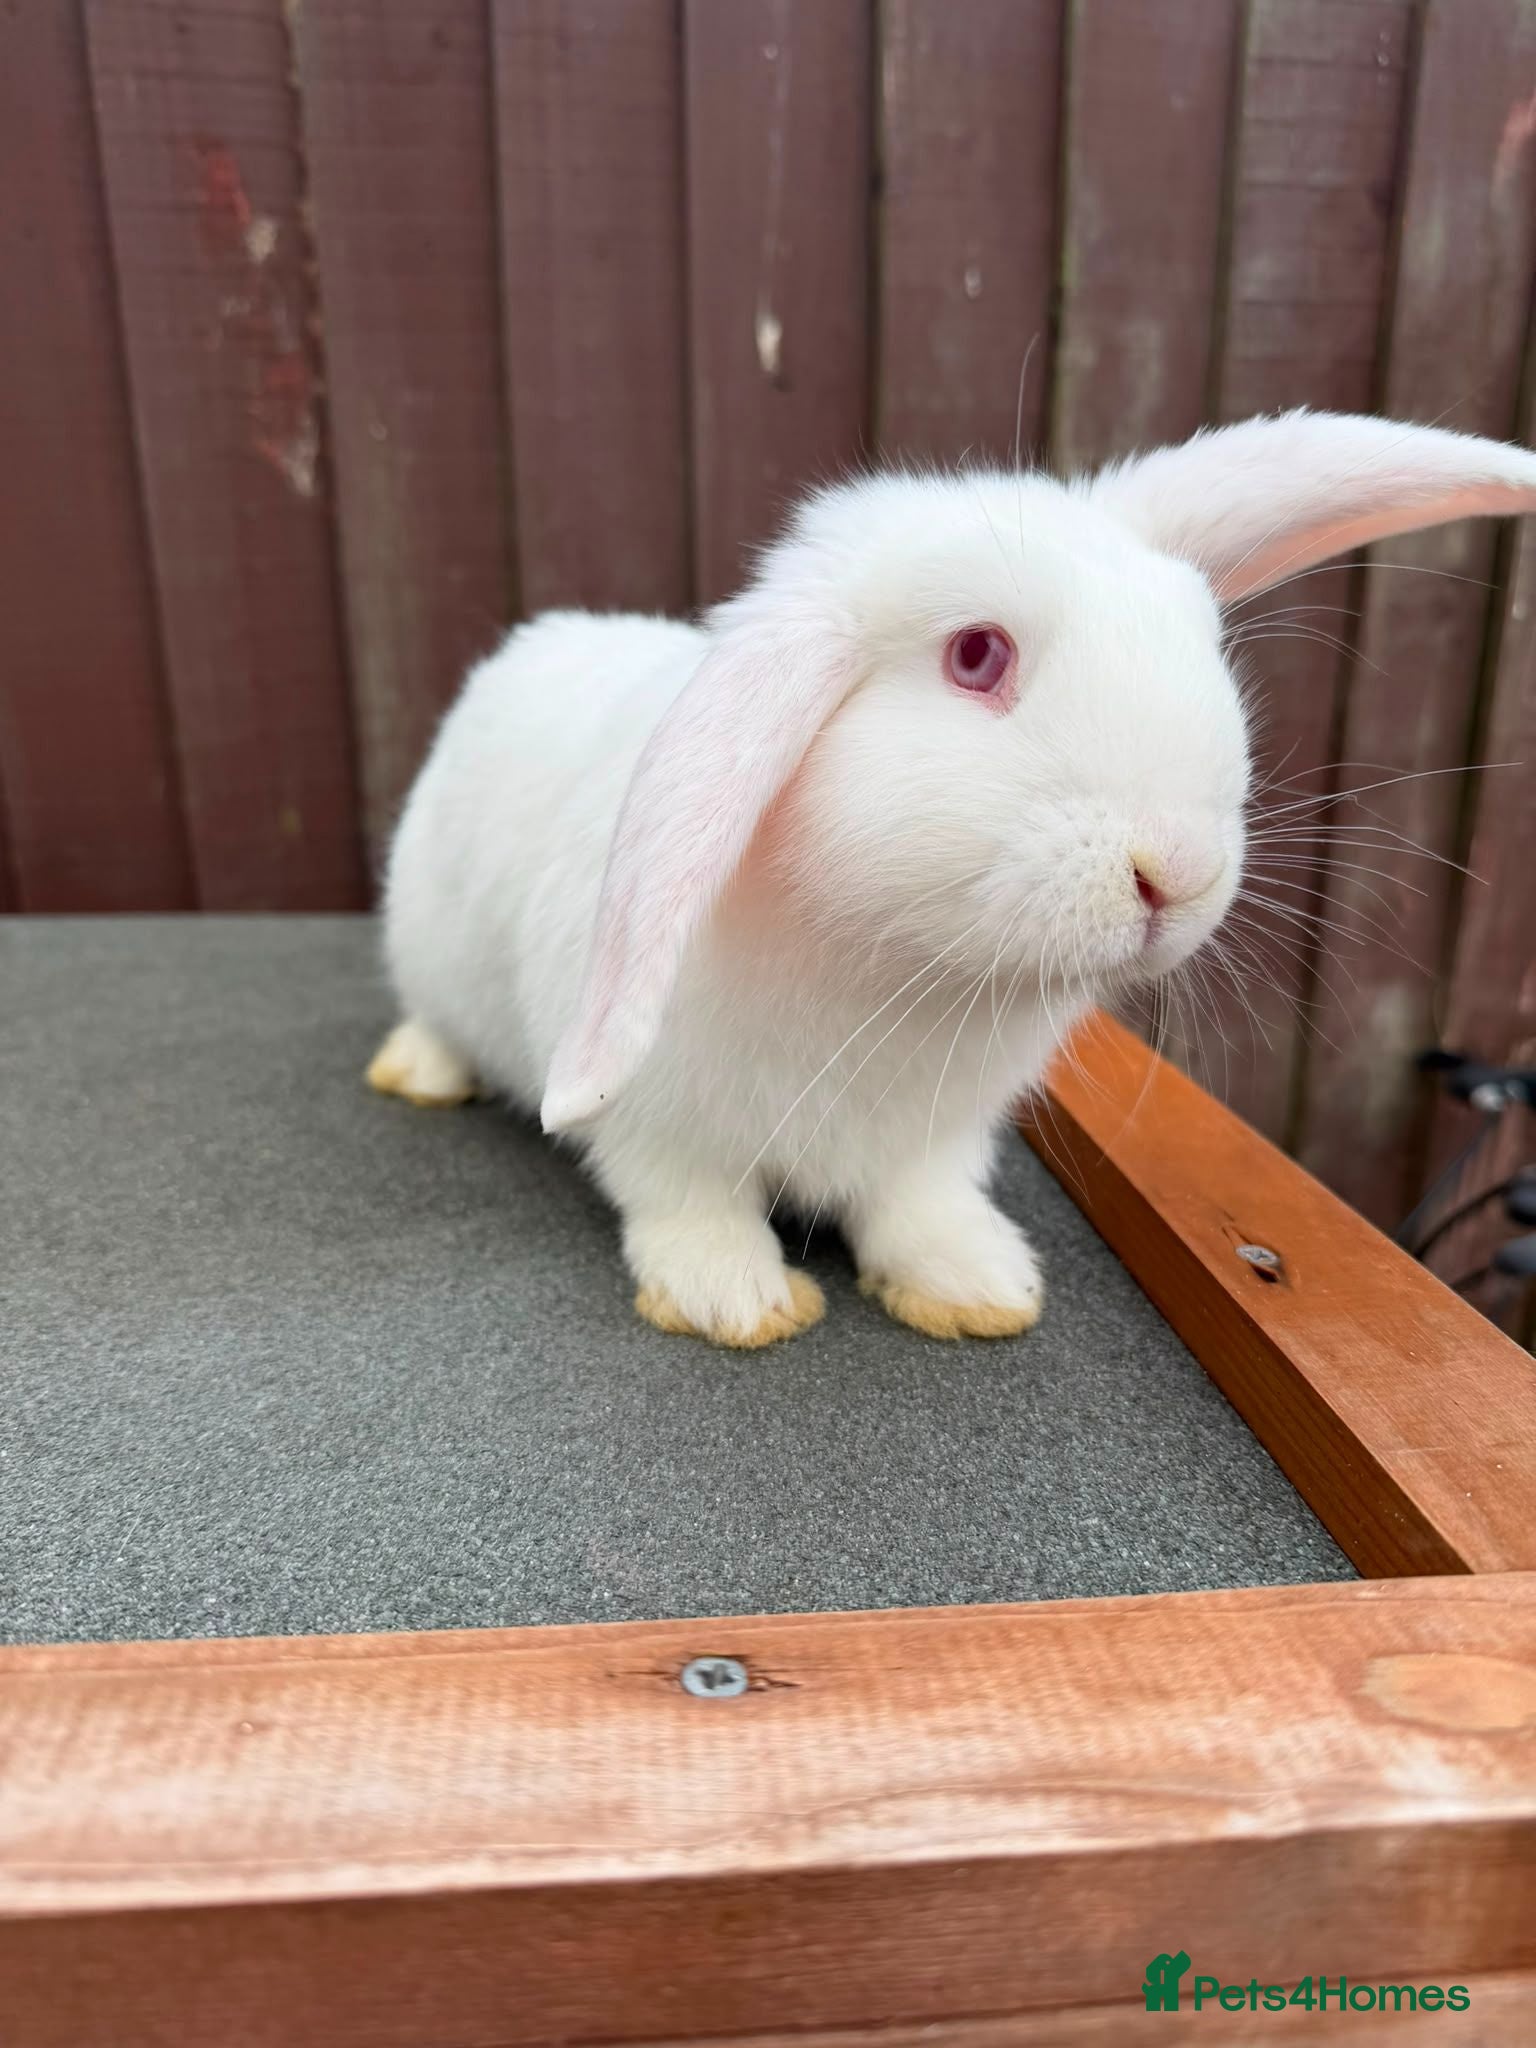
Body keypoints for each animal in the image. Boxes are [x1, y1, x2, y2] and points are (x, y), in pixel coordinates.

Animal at [369, 410, 1536, 1347]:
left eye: (1201, 636)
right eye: (977, 654)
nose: (1180, 872)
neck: (899, 970)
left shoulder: (931, 1140)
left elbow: (919, 1209)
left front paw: (978, 1289)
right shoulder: (663, 1133)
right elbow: (692, 1207)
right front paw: (736, 1302)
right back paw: (419, 1074)